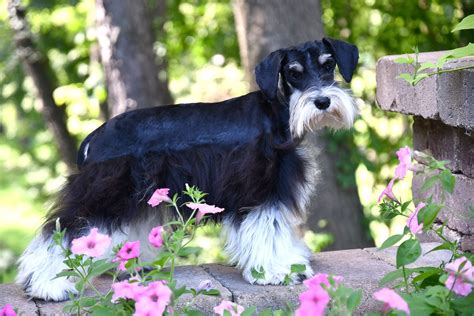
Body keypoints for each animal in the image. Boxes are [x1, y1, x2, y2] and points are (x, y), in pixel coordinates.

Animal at [15, 37, 360, 302]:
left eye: (328, 65)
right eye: (293, 73)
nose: (323, 101)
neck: (278, 114)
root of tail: (93, 139)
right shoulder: (260, 192)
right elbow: (267, 230)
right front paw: (276, 271)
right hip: (103, 194)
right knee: (59, 231)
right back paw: (48, 286)